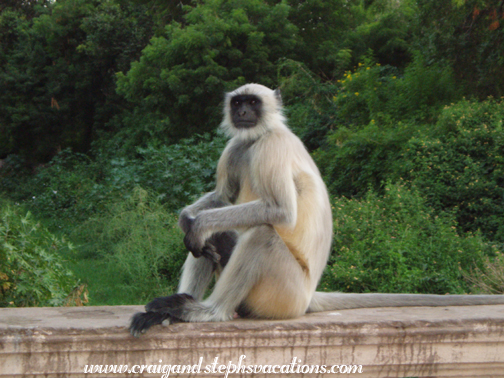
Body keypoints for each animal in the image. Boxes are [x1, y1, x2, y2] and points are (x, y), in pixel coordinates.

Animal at [130, 83, 504, 336]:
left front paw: (197, 224)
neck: (259, 137)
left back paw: (210, 311)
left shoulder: (271, 147)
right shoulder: (237, 146)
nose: (243, 113)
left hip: (284, 294)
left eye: (253, 102)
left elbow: (280, 212)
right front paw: (186, 219)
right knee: (214, 242)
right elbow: (222, 197)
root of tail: (308, 296)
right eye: (237, 103)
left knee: (260, 235)